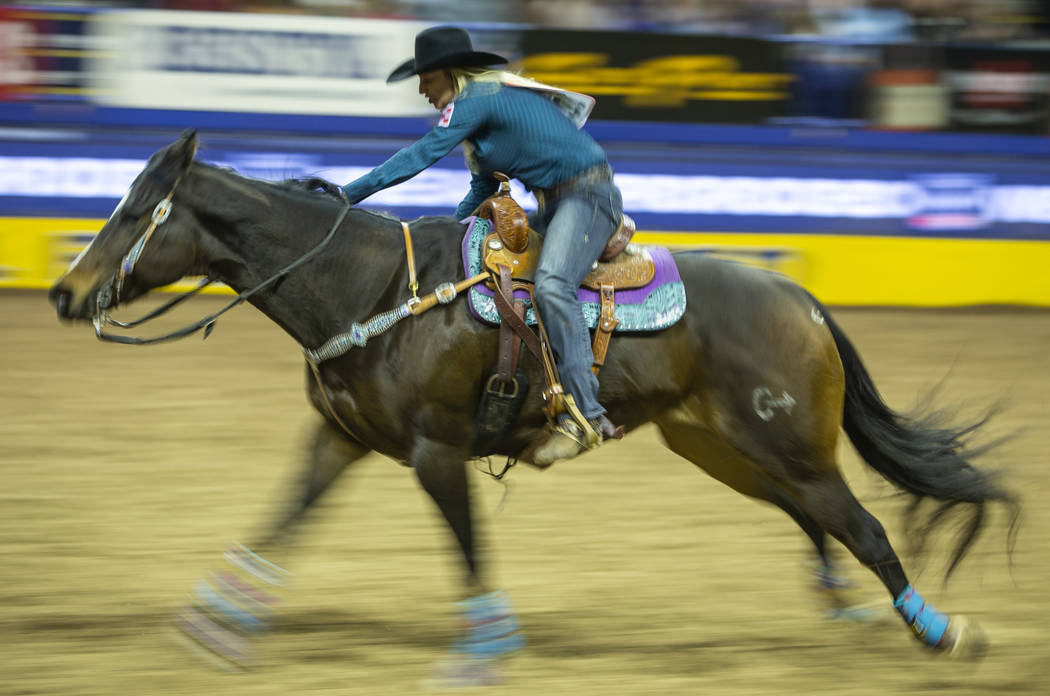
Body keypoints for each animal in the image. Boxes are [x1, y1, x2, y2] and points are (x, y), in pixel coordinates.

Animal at [49, 129, 1016, 680]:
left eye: (136, 210)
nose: (65, 292)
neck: (371, 288)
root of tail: (802, 300)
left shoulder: (436, 453)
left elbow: (467, 549)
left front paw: (485, 649)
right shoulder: (339, 438)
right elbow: (284, 518)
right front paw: (215, 623)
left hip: (790, 444)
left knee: (866, 527)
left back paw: (939, 633)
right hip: (720, 447)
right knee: (815, 520)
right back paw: (847, 609)